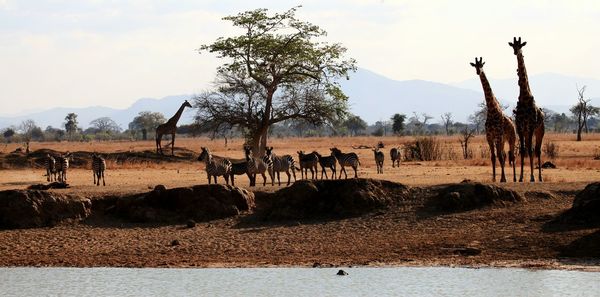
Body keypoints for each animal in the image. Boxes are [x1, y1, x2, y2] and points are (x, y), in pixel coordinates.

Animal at [508, 36, 548, 180]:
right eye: (513, 46)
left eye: (521, 46)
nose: (516, 52)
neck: (524, 96)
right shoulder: (520, 128)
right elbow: (523, 150)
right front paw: (520, 178)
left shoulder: (530, 127)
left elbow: (530, 151)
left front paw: (532, 177)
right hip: (526, 132)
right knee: (530, 149)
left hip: (540, 131)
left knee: (537, 150)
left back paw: (540, 177)